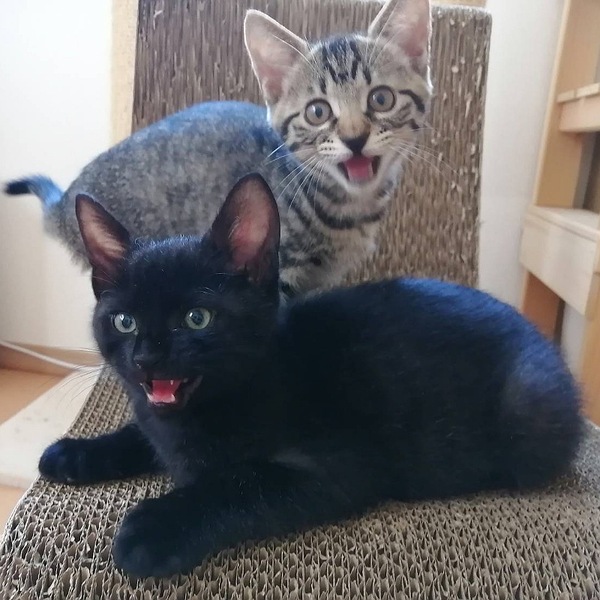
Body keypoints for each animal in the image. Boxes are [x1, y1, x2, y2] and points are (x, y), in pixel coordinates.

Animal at [4, 0, 432, 298]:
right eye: (318, 112)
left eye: (381, 99)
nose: (355, 138)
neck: (346, 208)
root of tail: (64, 204)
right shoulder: (273, 272)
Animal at [38, 173, 583, 579]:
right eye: (124, 322)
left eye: (197, 318)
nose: (147, 359)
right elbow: (139, 434)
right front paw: (79, 452)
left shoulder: (339, 465)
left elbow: (239, 482)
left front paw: (153, 527)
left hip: (529, 407)